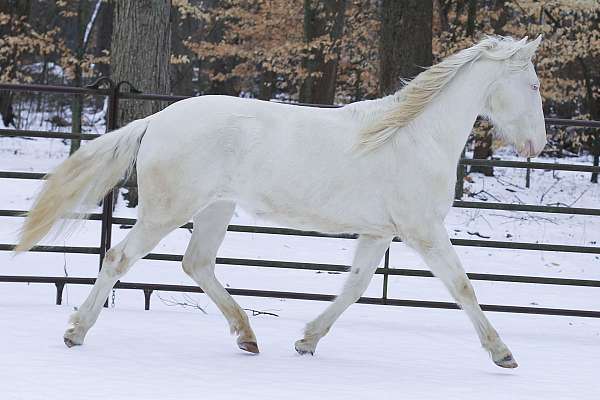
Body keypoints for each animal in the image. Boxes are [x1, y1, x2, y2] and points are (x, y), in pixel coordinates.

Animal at [17, 36, 544, 368]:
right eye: (534, 85)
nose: (536, 145)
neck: (413, 137)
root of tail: (159, 118)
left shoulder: (379, 232)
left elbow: (355, 287)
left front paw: (307, 341)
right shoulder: (423, 231)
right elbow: (463, 287)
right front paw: (504, 354)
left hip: (215, 210)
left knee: (197, 264)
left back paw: (248, 337)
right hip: (167, 211)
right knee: (119, 257)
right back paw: (75, 331)